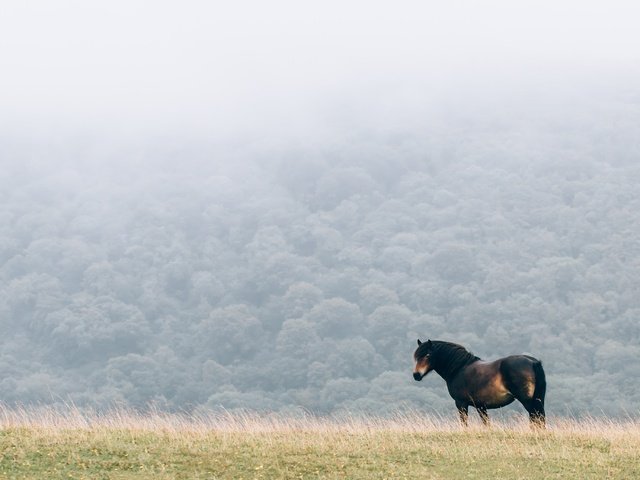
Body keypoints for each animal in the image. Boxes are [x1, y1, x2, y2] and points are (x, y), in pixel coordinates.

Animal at [416, 338, 544, 428]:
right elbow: (486, 424)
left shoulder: (461, 403)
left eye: (427, 355)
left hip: (528, 401)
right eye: (416, 357)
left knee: (535, 417)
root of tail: (533, 362)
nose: (416, 375)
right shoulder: (481, 407)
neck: (459, 368)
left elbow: (464, 423)